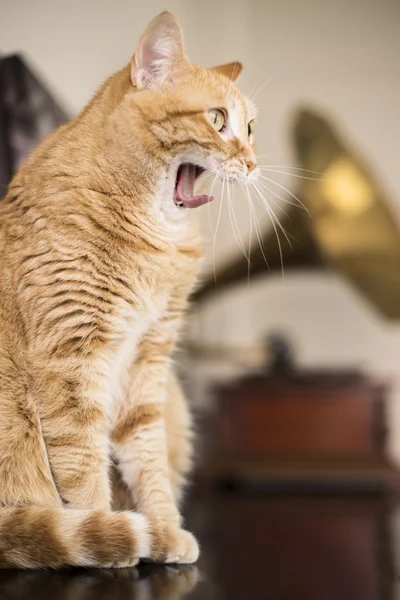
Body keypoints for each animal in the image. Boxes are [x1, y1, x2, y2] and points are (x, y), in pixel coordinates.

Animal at [0, 11, 256, 568]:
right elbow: (82, 466)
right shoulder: (72, 363)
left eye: (251, 128)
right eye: (217, 120)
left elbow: (148, 457)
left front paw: (164, 529)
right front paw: (107, 531)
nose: (252, 163)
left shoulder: (147, 362)